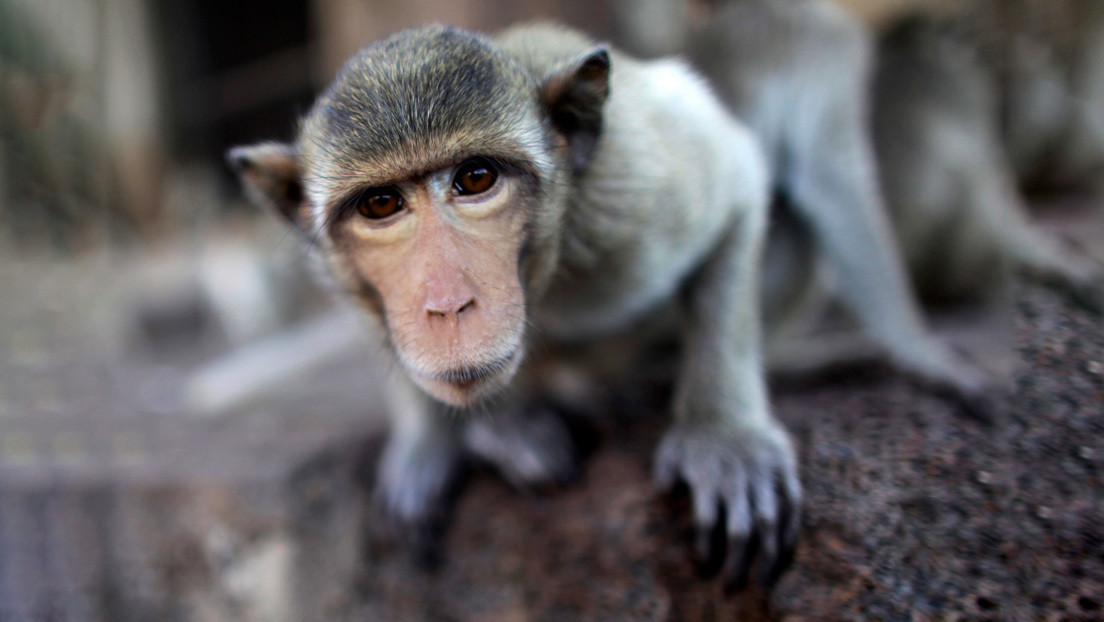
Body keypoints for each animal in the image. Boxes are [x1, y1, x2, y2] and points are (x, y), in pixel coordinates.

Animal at [230, 23, 803, 587]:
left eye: (475, 178)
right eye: (381, 204)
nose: (448, 305)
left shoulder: (634, 190)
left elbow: (738, 189)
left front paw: (724, 437)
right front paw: (430, 440)